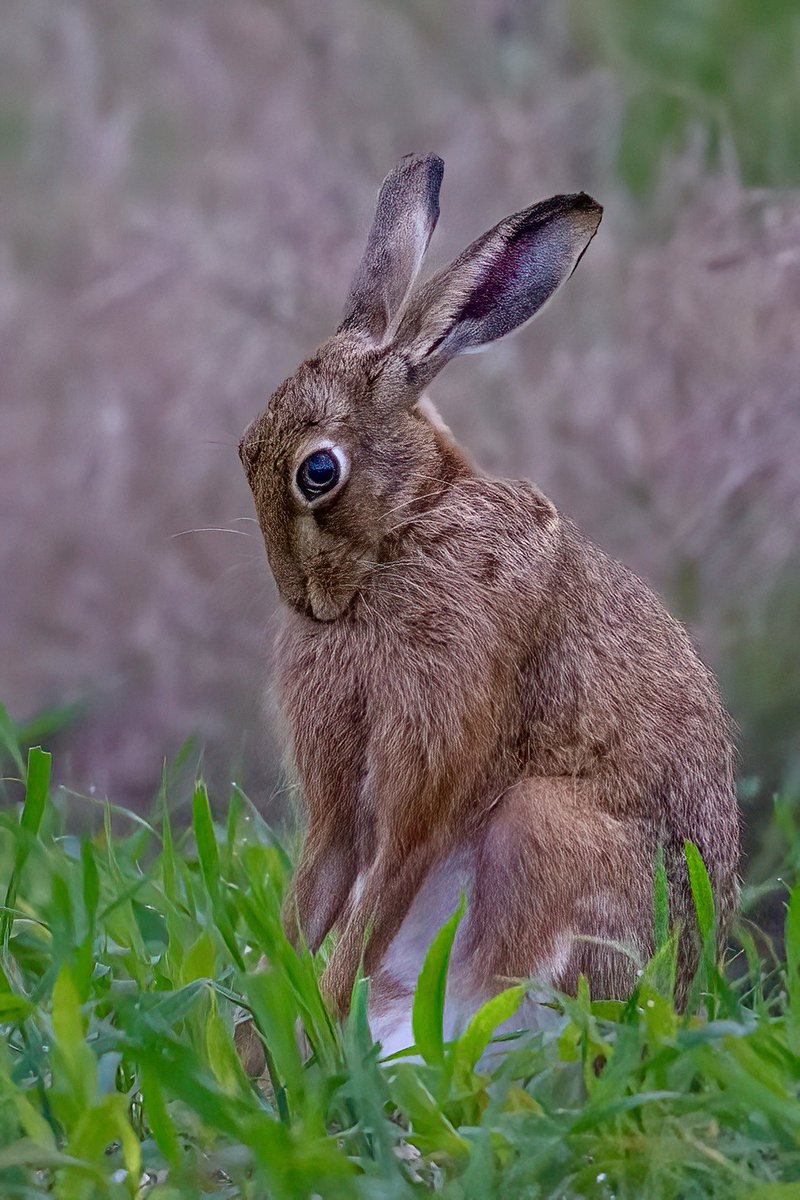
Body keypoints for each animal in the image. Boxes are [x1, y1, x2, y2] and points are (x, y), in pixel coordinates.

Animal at [236, 154, 739, 1064]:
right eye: (242, 452)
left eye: (317, 473)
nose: (300, 599)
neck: (407, 532)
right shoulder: (336, 806)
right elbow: (306, 911)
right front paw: (256, 1062)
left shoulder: (432, 759)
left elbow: (379, 892)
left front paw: (301, 1054)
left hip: (550, 828)